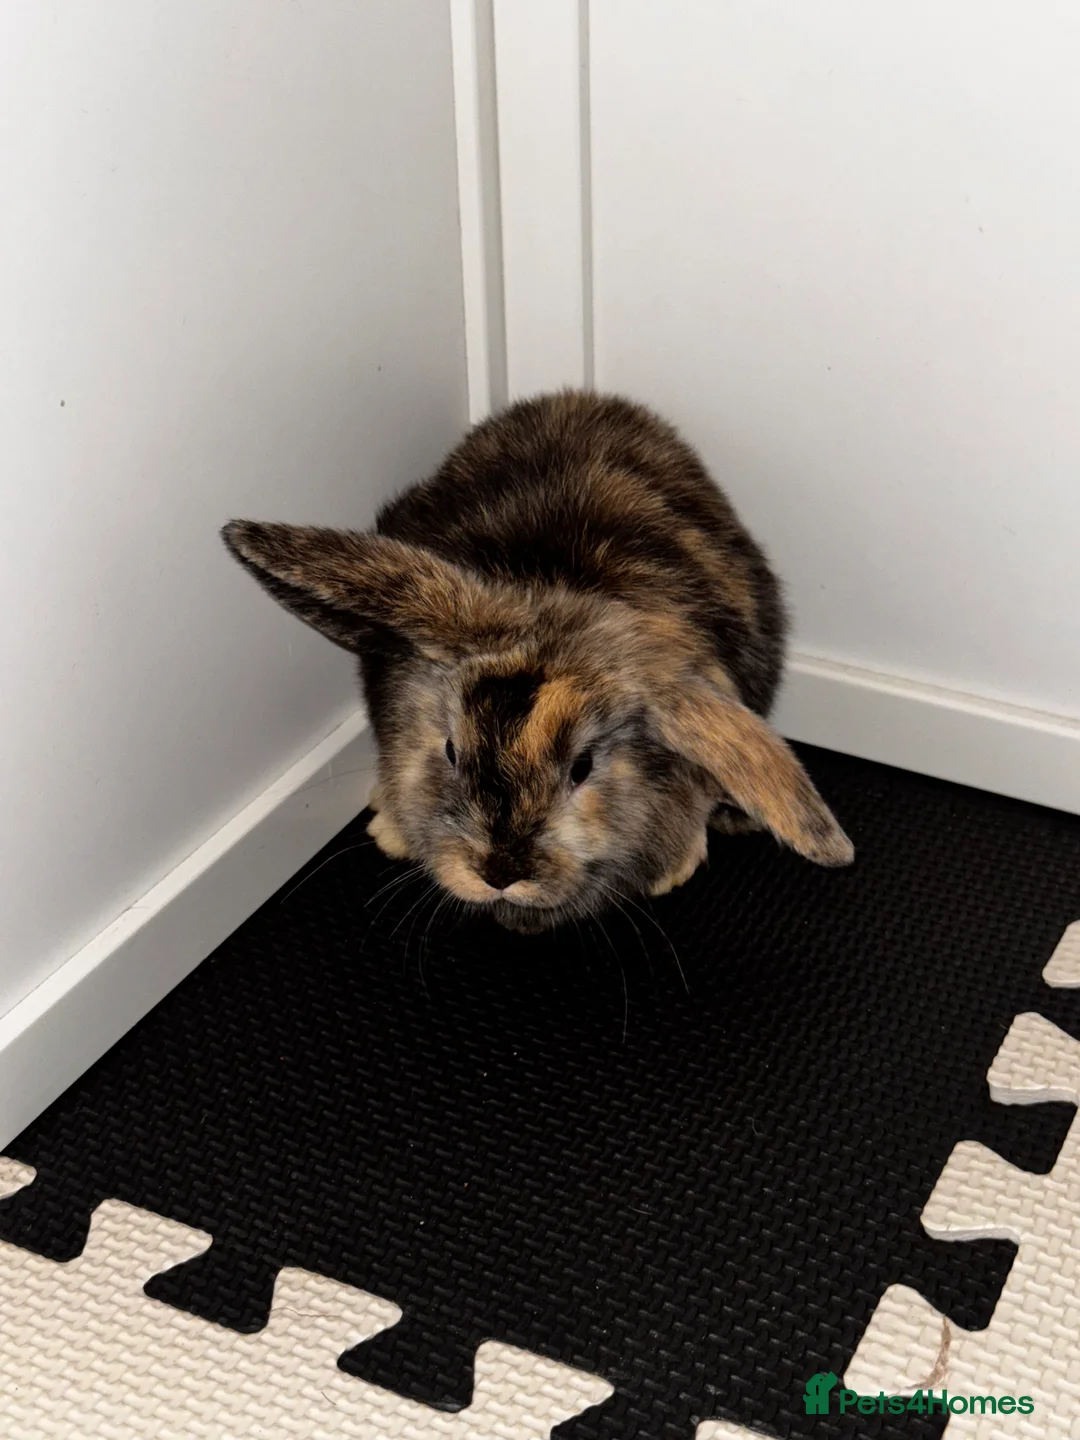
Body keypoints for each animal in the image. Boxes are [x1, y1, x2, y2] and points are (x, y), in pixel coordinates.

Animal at [222, 390, 852, 934]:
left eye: (583, 767)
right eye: (450, 751)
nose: (499, 874)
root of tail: (585, 397)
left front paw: (672, 867)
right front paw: (393, 830)